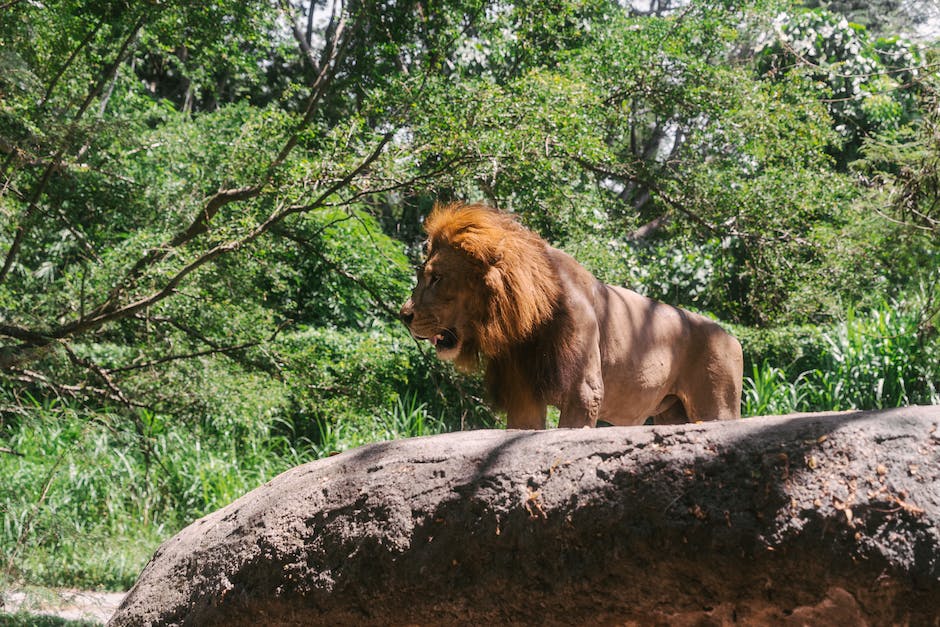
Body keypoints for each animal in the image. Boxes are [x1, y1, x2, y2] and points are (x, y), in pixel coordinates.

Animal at [396, 204, 740, 430]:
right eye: (423, 275)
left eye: (436, 278)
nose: (404, 315)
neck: (527, 324)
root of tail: (731, 336)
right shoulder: (523, 394)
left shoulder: (583, 392)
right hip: (672, 413)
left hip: (717, 405)